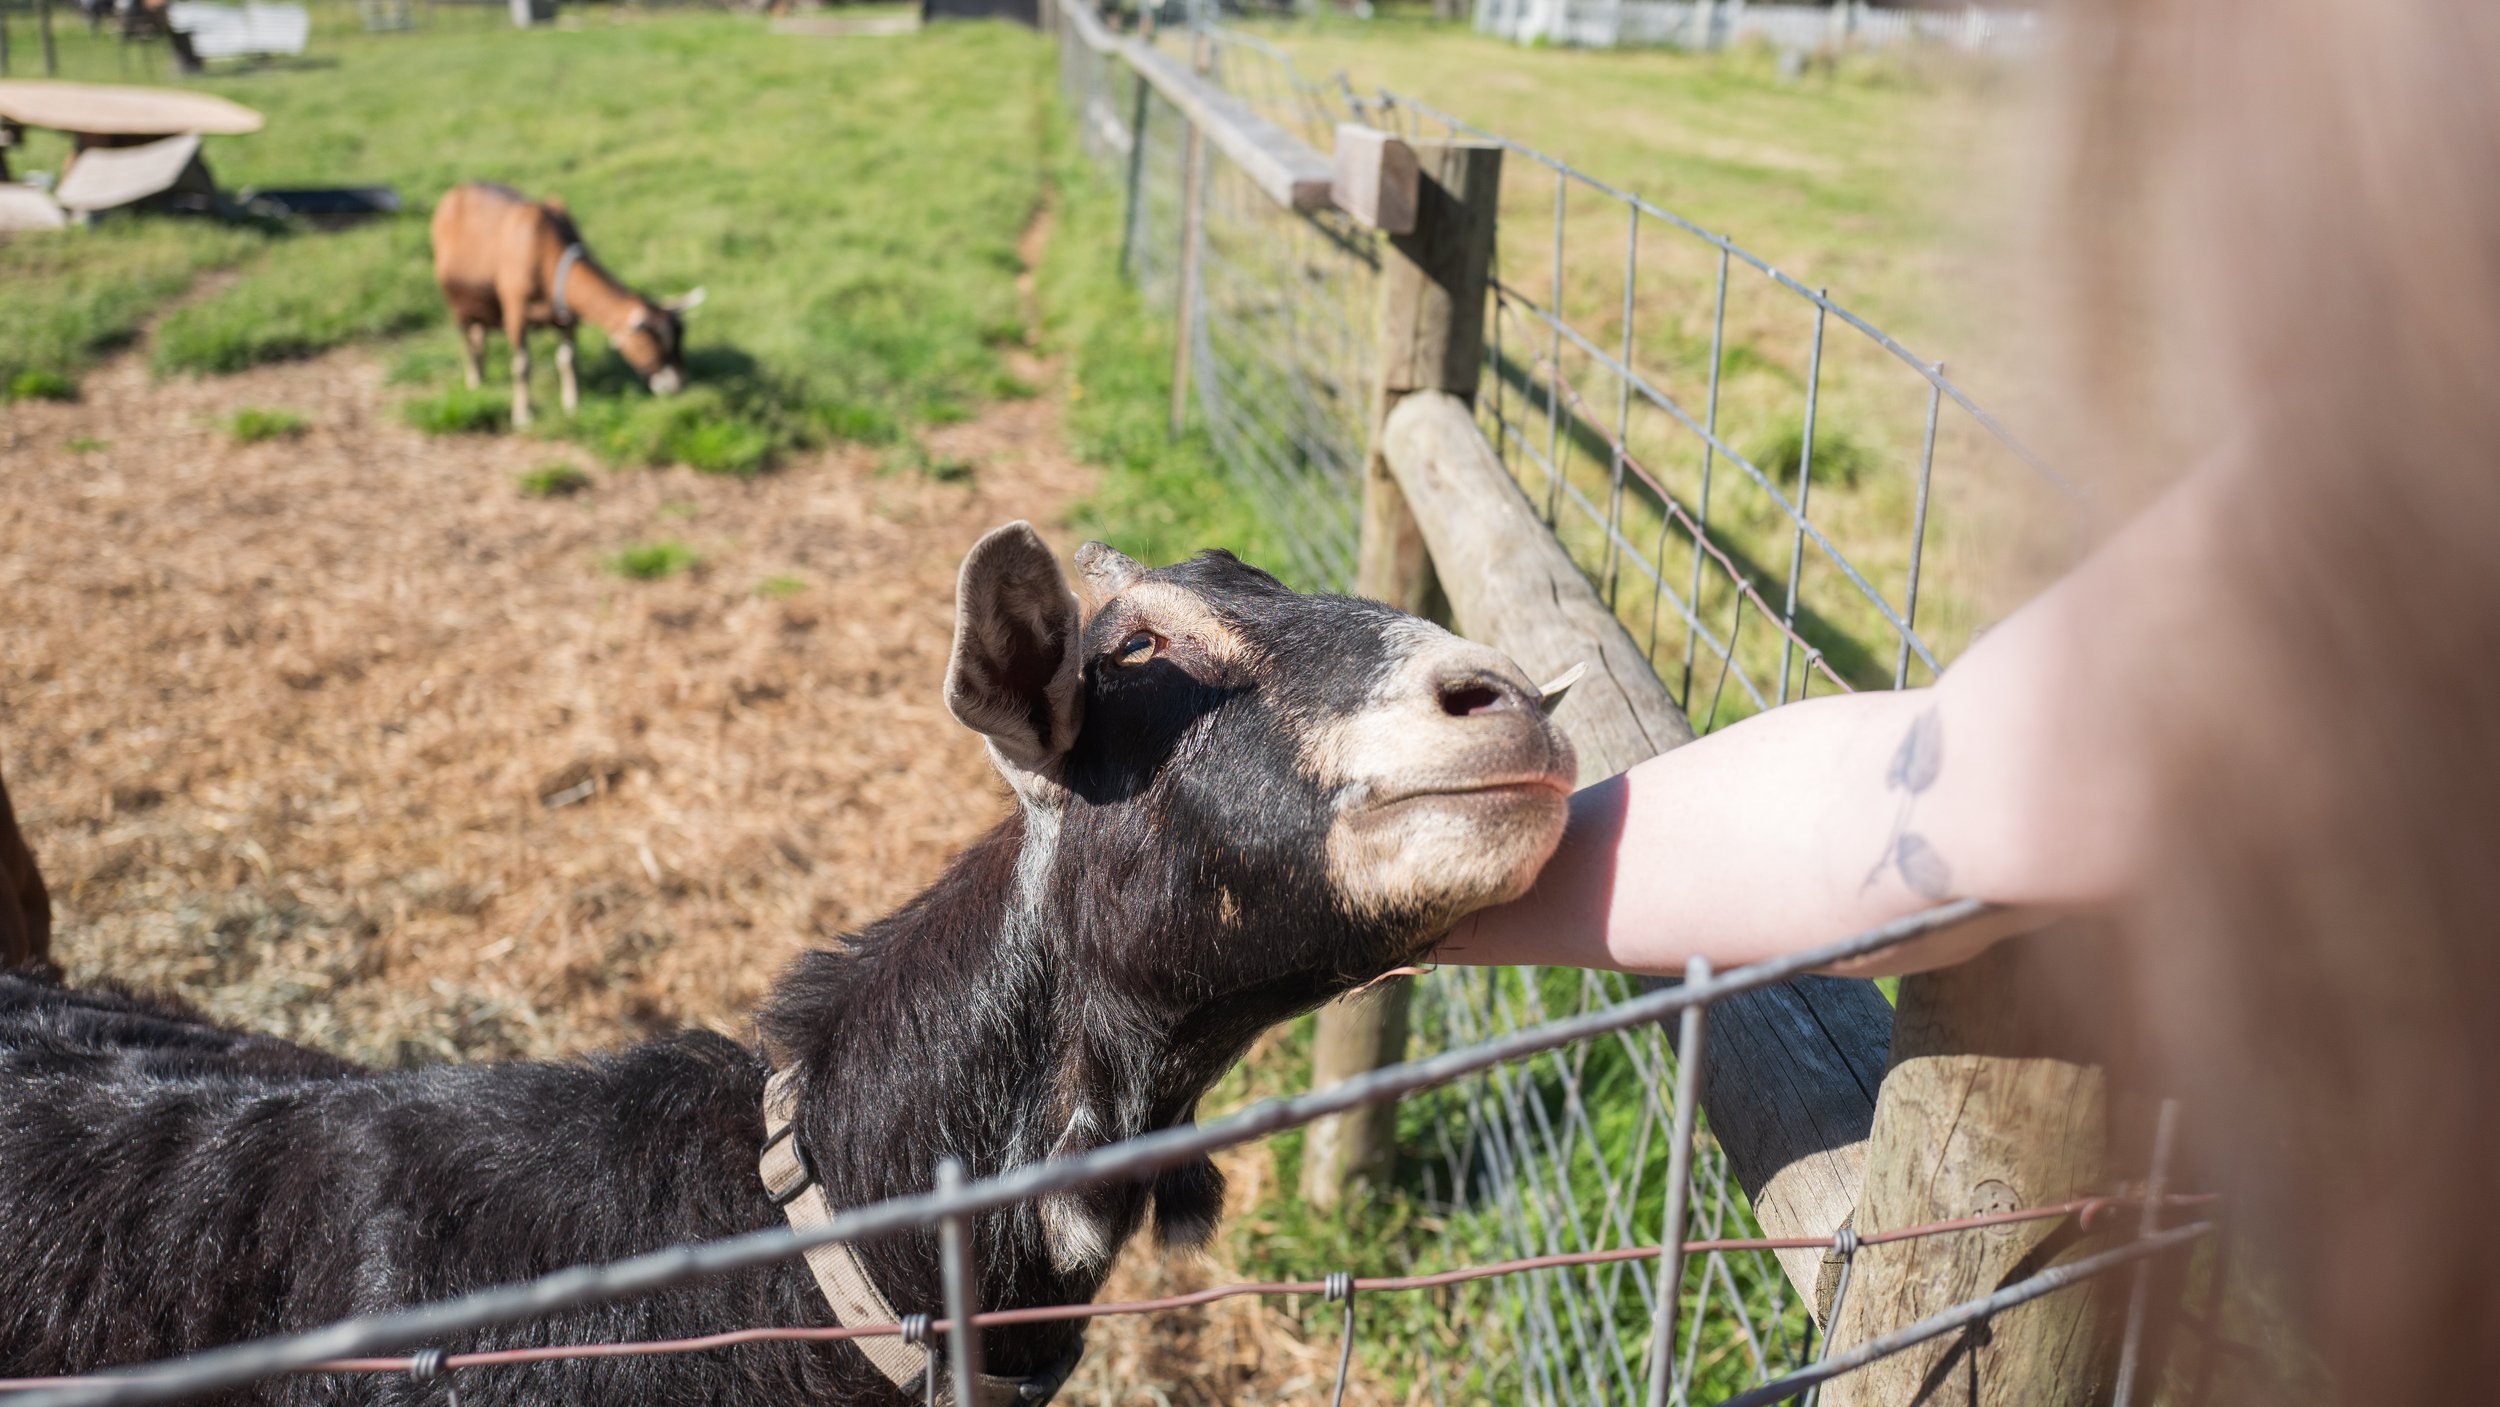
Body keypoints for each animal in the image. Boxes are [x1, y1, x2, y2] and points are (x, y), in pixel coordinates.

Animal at [428, 181, 704, 429]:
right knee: (465, 333)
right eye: (651, 344)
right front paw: (522, 415)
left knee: (478, 331)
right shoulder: (514, 308)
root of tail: (454, 193)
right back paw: (475, 378)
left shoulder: (567, 317)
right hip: (454, 296)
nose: (679, 384)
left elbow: (568, 360)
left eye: (679, 339)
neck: (546, 255)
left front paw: (572, 404)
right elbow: (522, 365)